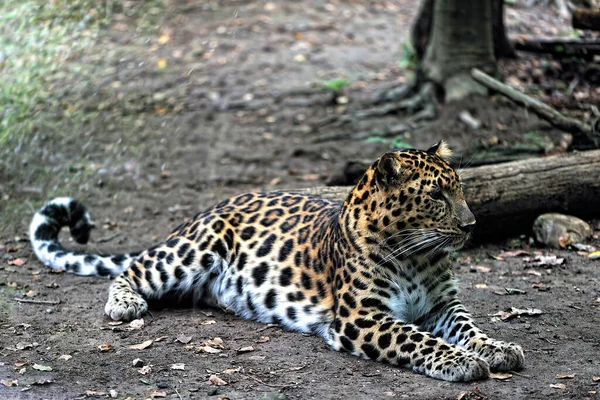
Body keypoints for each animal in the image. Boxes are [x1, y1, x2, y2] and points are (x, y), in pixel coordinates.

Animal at [30, 141, 524, 382]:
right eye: (437, 196)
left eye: (460, 189)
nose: (472, 225)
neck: (418, 256)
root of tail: (211, 206)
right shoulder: (362, 318)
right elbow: (418, 339)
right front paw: (459, 362)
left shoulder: (443, 304)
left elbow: (469, 328)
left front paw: (498, 348)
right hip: (191, 251)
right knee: (132, 269)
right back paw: (125, 303)